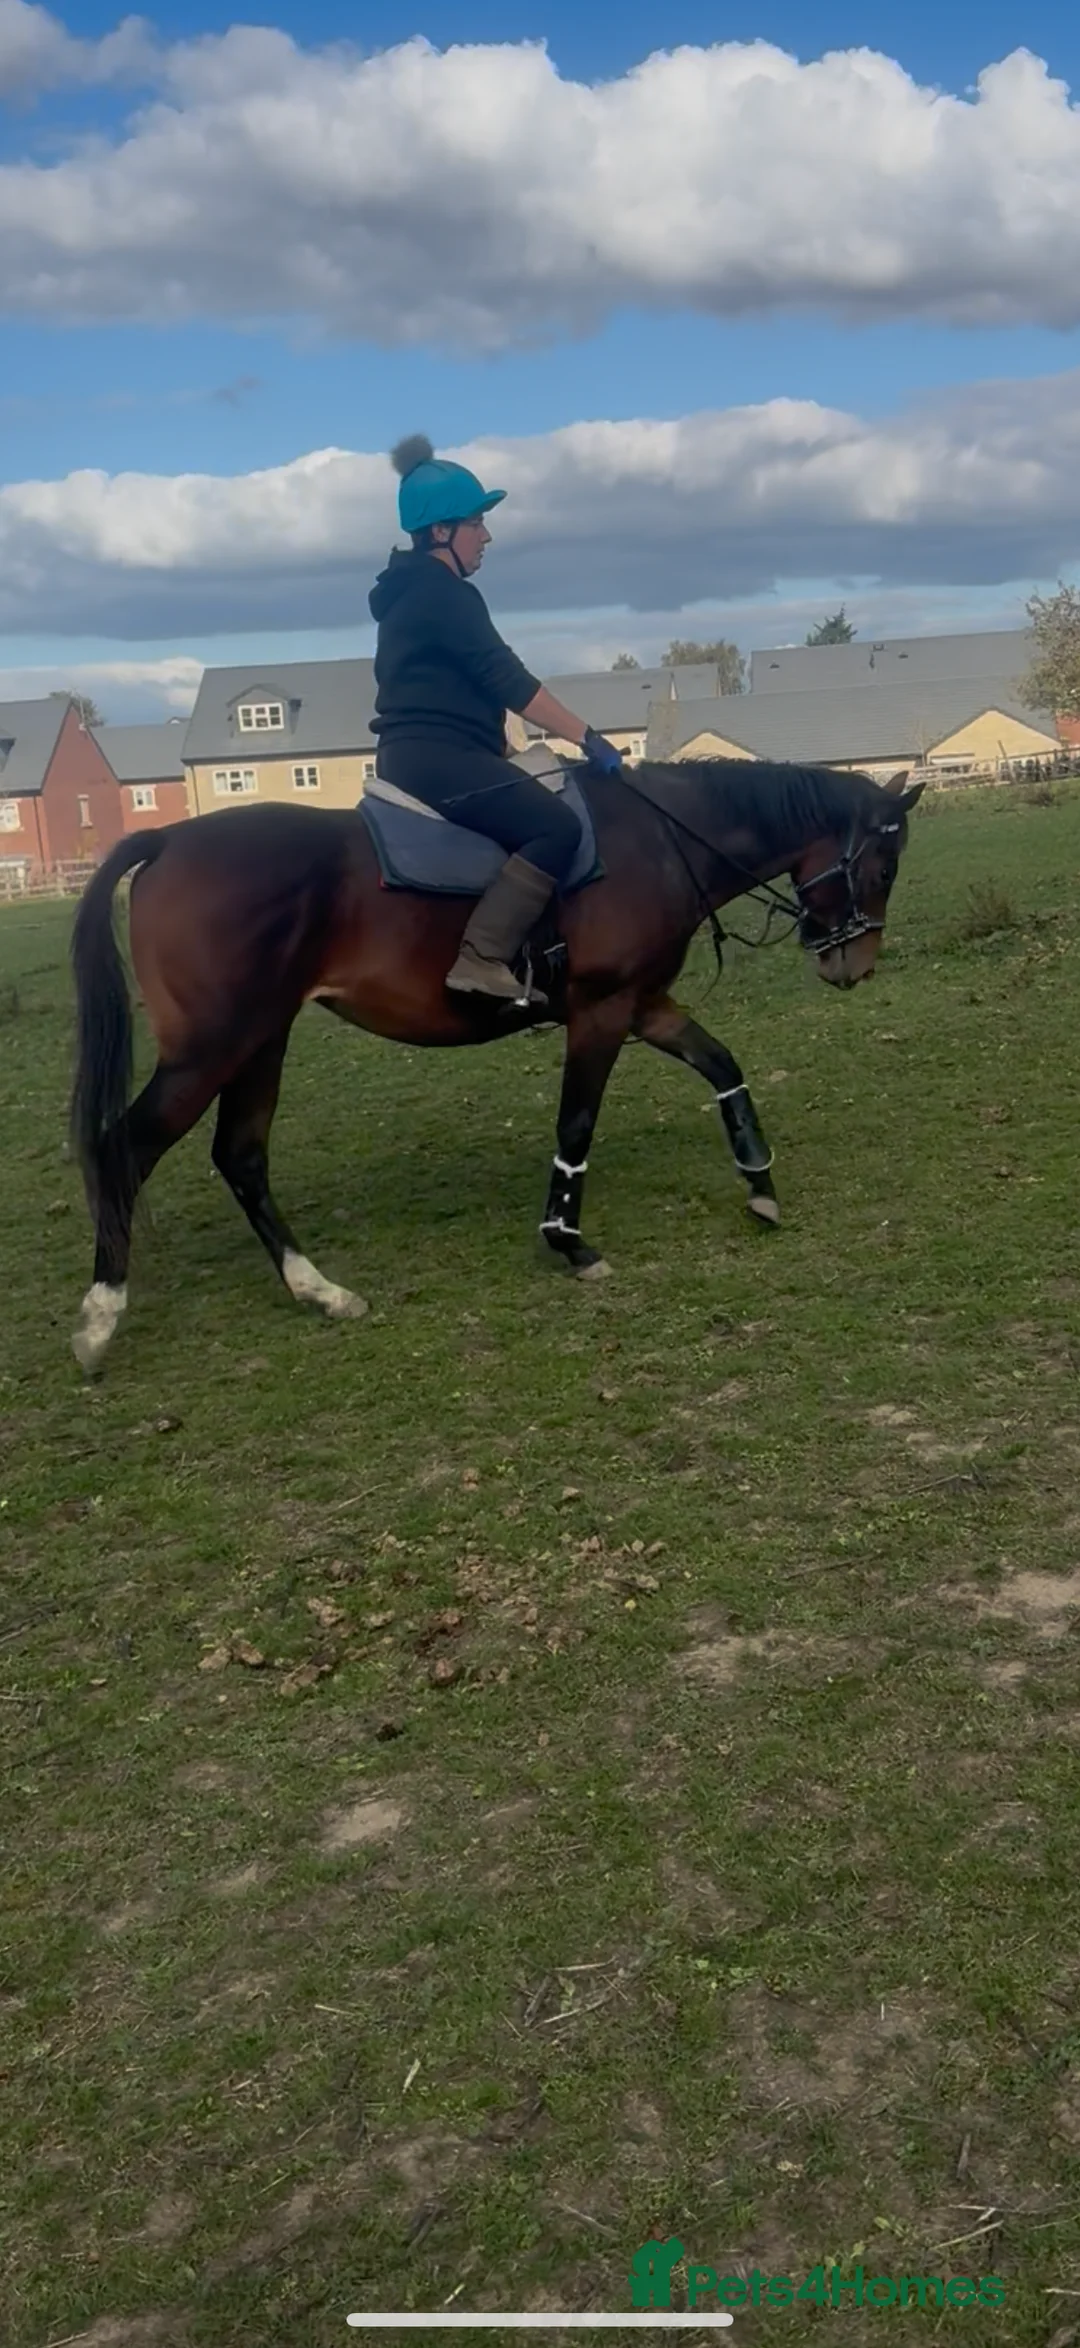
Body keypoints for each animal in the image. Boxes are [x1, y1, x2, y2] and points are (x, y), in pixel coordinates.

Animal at [67, 755, 924, 1373]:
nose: (854, 965)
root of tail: (169, 839)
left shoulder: (644, 1003)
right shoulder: (602, 1011)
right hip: (213, 1049)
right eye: (883, 869)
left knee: (240, 1156)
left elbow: (721, 1065)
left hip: (258, 1042)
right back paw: (101, 1316)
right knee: (125, 1148)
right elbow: (576, 1124)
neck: (657, 840)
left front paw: (759, 1184)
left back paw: (320, 1291)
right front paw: (568, 1241)